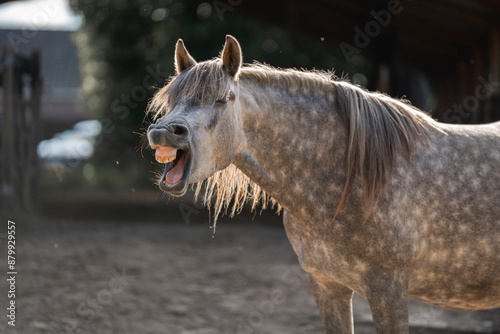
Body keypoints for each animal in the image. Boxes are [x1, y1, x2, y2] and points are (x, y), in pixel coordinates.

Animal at [146, 35, 500, 332]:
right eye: (172, 99)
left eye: (222, 100)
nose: (164, 132)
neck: (351, 180)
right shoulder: (326, 284)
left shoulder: (389, 289)